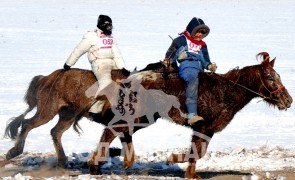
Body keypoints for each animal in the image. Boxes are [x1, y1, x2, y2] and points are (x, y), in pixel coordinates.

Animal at [4, 52, 294, 179]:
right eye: (270, 77)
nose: (287, 100)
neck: (224, 91)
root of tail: (50, 75)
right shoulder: (203, 126)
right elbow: (195, 152)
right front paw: (173, 161)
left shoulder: (206, 128)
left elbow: (197, 153)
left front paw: (188, 172)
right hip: (50, 109)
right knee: (29, 124)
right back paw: (15, 153)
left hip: (67, 114)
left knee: (57, 132)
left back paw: (72, 161)